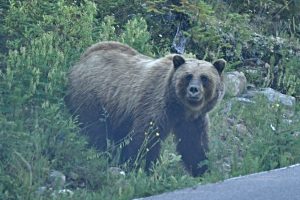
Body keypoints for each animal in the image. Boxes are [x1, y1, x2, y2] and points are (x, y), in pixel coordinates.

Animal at [65, 41, 225, 176]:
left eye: (204, 78)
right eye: (188, 76)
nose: (193, 90)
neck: (179, 107)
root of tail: (83, 57)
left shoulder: (193, 120)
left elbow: (193, 144)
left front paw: (202, 169)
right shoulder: (156, 106)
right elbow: (146, 138)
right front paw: (141, 166)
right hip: (93, 96)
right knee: (94, 129)